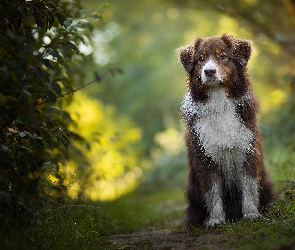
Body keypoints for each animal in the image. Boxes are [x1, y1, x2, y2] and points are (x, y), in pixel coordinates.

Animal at [179, 34, 278, 229]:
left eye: (223, 56)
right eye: (201, 59)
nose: (209, 71)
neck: (219, 103)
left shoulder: (247, 150)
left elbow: (249, 186)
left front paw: (251, 214)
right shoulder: (205, 157)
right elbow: (212, 192)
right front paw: (215, 219)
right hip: (193, 189)